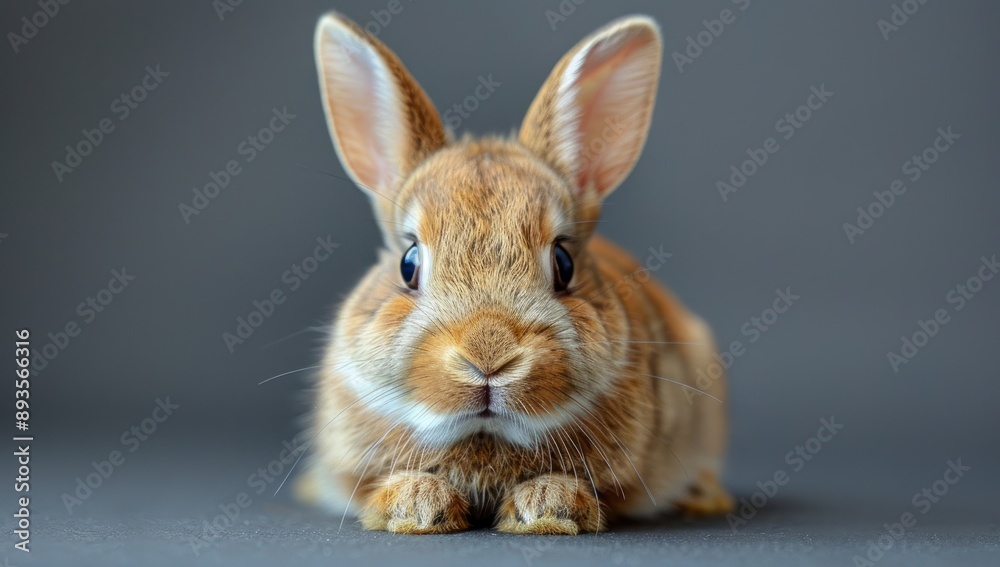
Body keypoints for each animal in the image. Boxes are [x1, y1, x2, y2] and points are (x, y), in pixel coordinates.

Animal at [297, 11, 733, 534]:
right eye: (408, 265)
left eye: (564, 263)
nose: (489, 356)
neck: (486, 438)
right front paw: (415, 506)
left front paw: (548, 507)